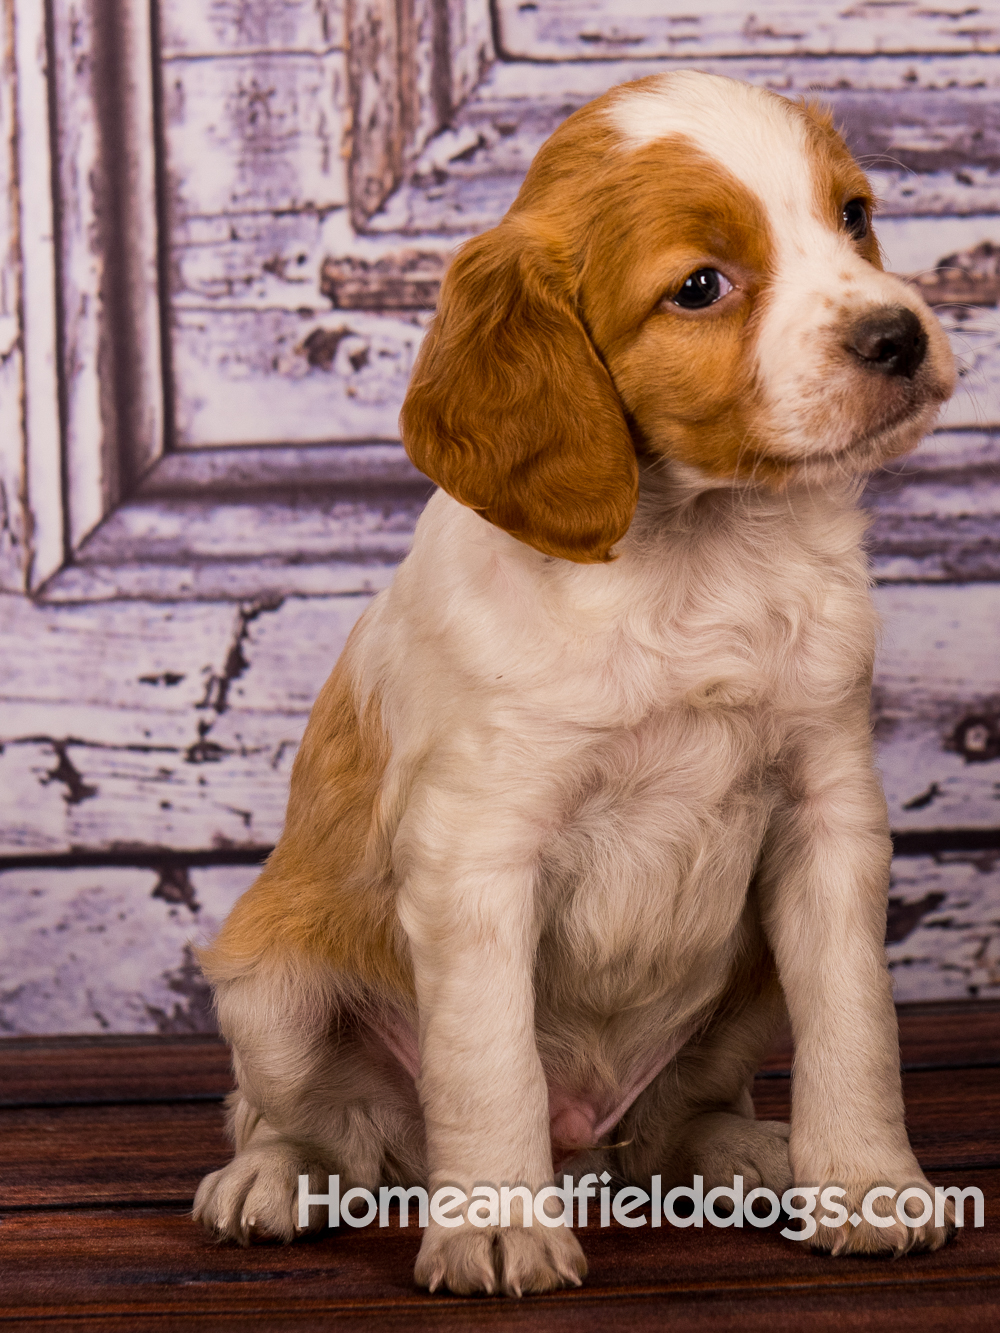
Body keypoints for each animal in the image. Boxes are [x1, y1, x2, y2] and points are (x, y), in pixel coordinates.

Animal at [193, 70, 954, 1290]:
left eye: (854, 217)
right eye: (699, 286)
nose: (898, 334)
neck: (698, 554)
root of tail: (585, 1141)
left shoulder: (828, 819)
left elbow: (856, 1025)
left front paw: (869, 1187)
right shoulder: (477, 852)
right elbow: (488, 1060)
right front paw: (498, 1223)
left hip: (740, 992)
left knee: (670, 1123)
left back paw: (747, 1150)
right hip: (271, 986)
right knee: (313, 1122)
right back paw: (273, 1175)